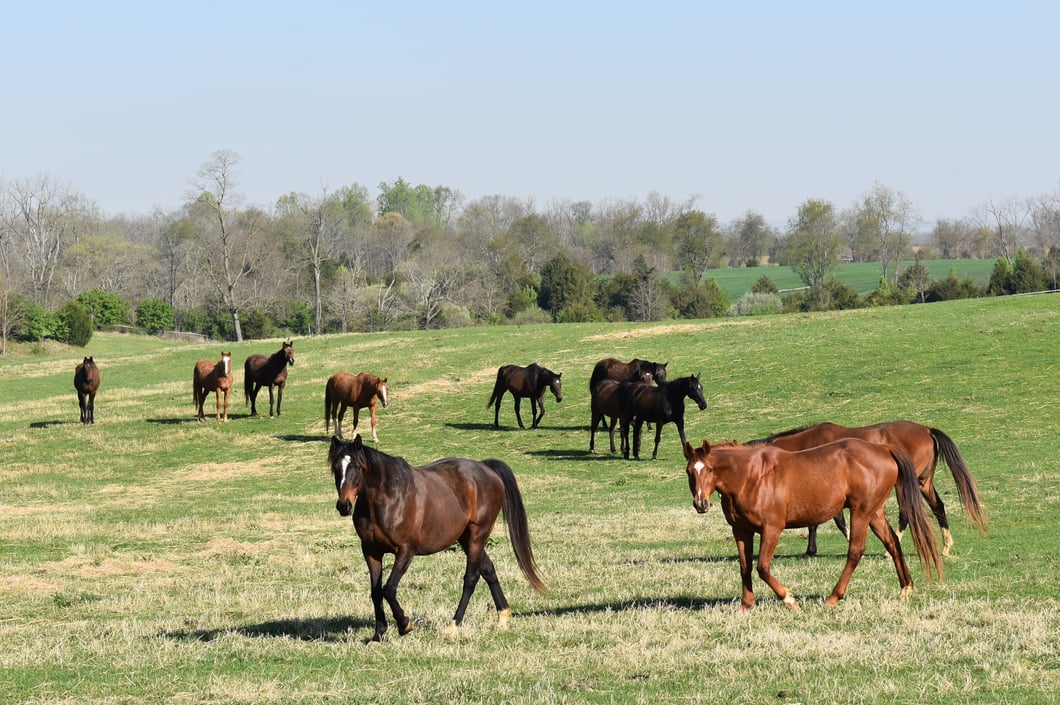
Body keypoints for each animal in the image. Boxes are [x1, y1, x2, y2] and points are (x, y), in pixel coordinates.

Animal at [328, 432, 546, 640]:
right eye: (336, 468)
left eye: (357, 467)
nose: (343, 506)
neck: (389, 498)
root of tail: (486, 468)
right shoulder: (371, 552)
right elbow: (376, 592)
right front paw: (378, 634)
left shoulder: (406, 550)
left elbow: (388, 589)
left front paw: (405, 624)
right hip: (466, 539)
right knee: (488, 570)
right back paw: (502, 618)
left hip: (477, 536)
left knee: (471, 578)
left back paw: (453, 625)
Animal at [686, 436, 945, 606]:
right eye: (690, 471)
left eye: (709, 469)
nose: (701, 503)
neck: (751, 475)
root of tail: (884, 449)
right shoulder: (741, 531)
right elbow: (744, 567)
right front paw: (747, 604)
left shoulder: (772, 529)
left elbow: (762, 567)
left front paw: (789, 599)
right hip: (875, 513)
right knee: (892, 543)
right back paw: (905, 588)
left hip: (861, 512)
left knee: (855, 551)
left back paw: (833, 597)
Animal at [750, 417, 987, 555]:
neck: (806, 444)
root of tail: (926, 430)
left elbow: (831, 521)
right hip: (923, 482)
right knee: (938, 506)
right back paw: (946, 546)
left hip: (905, 484)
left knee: (905, 513)